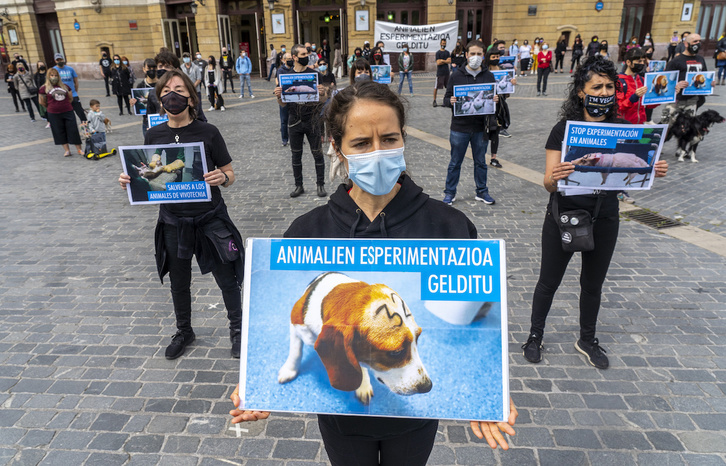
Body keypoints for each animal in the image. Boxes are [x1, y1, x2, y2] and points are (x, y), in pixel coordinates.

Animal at [278, 274, 432, 404]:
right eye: (396, 352)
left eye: (418, 338)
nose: (428, 386)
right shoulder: (294, 324)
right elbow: (296, 352)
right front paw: (289, 370)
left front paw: (363, 384)